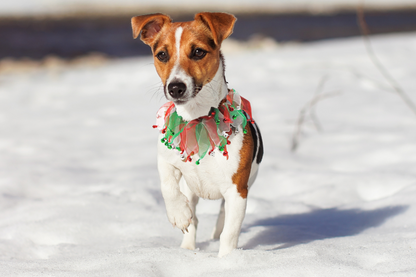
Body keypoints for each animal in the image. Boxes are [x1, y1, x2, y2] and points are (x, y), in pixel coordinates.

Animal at [132, 11, 264, 256]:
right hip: (190, 190)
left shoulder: (237, 190)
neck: (198, 119)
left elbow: (229, 233)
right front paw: (178, 214)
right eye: (162, 54)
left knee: (222, 217)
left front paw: (226, 259)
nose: (175, 87)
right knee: (193, 221)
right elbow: (167, 186)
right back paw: (186, 248)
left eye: (198, 52)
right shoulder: (166, 158)